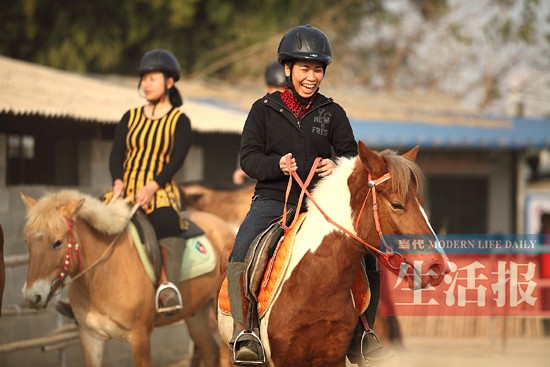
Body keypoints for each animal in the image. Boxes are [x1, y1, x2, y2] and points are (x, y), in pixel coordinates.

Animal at [21, 191, 237, 366]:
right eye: (27, 241)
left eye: (58, 242)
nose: (32, 296)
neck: (103, 276)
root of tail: (226, 227)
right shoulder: (90, 336)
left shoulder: (140, 337)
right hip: (197, 314)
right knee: (210, 353)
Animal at [218, 142, 450, 366]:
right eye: (396, 204)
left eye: (421, 202)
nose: (437, 266)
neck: (314, 284)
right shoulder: (283, 358)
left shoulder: (332, 356)